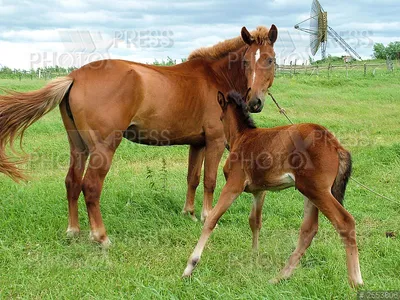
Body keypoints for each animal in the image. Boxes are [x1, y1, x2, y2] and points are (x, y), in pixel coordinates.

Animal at [0, 25, 276, 246]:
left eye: (270, 60)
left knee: (72, 181)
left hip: (78, 145)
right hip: (103, 148)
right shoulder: (215, 141)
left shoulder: (197, 144)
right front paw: (208, 217)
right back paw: (100, 236)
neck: (214, 76)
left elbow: (193, 178)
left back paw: (74, 230)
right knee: (91, 186)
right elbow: (209, 180)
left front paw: (188, 213)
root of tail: (74, 76)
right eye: (246, 61)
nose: (255, 102)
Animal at [183, 92, 364, 288]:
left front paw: (190, 266)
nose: (225, 144)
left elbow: (211, 219)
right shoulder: (259, 190)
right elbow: (254, 221)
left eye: (221, 118)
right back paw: (281, 277)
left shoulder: (234, 185)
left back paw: (356, 281)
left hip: (317, 191)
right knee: (309, 229)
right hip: (310, 192)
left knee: (344, 222)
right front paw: (254, 257)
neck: (242, 137)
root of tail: (336, 145)